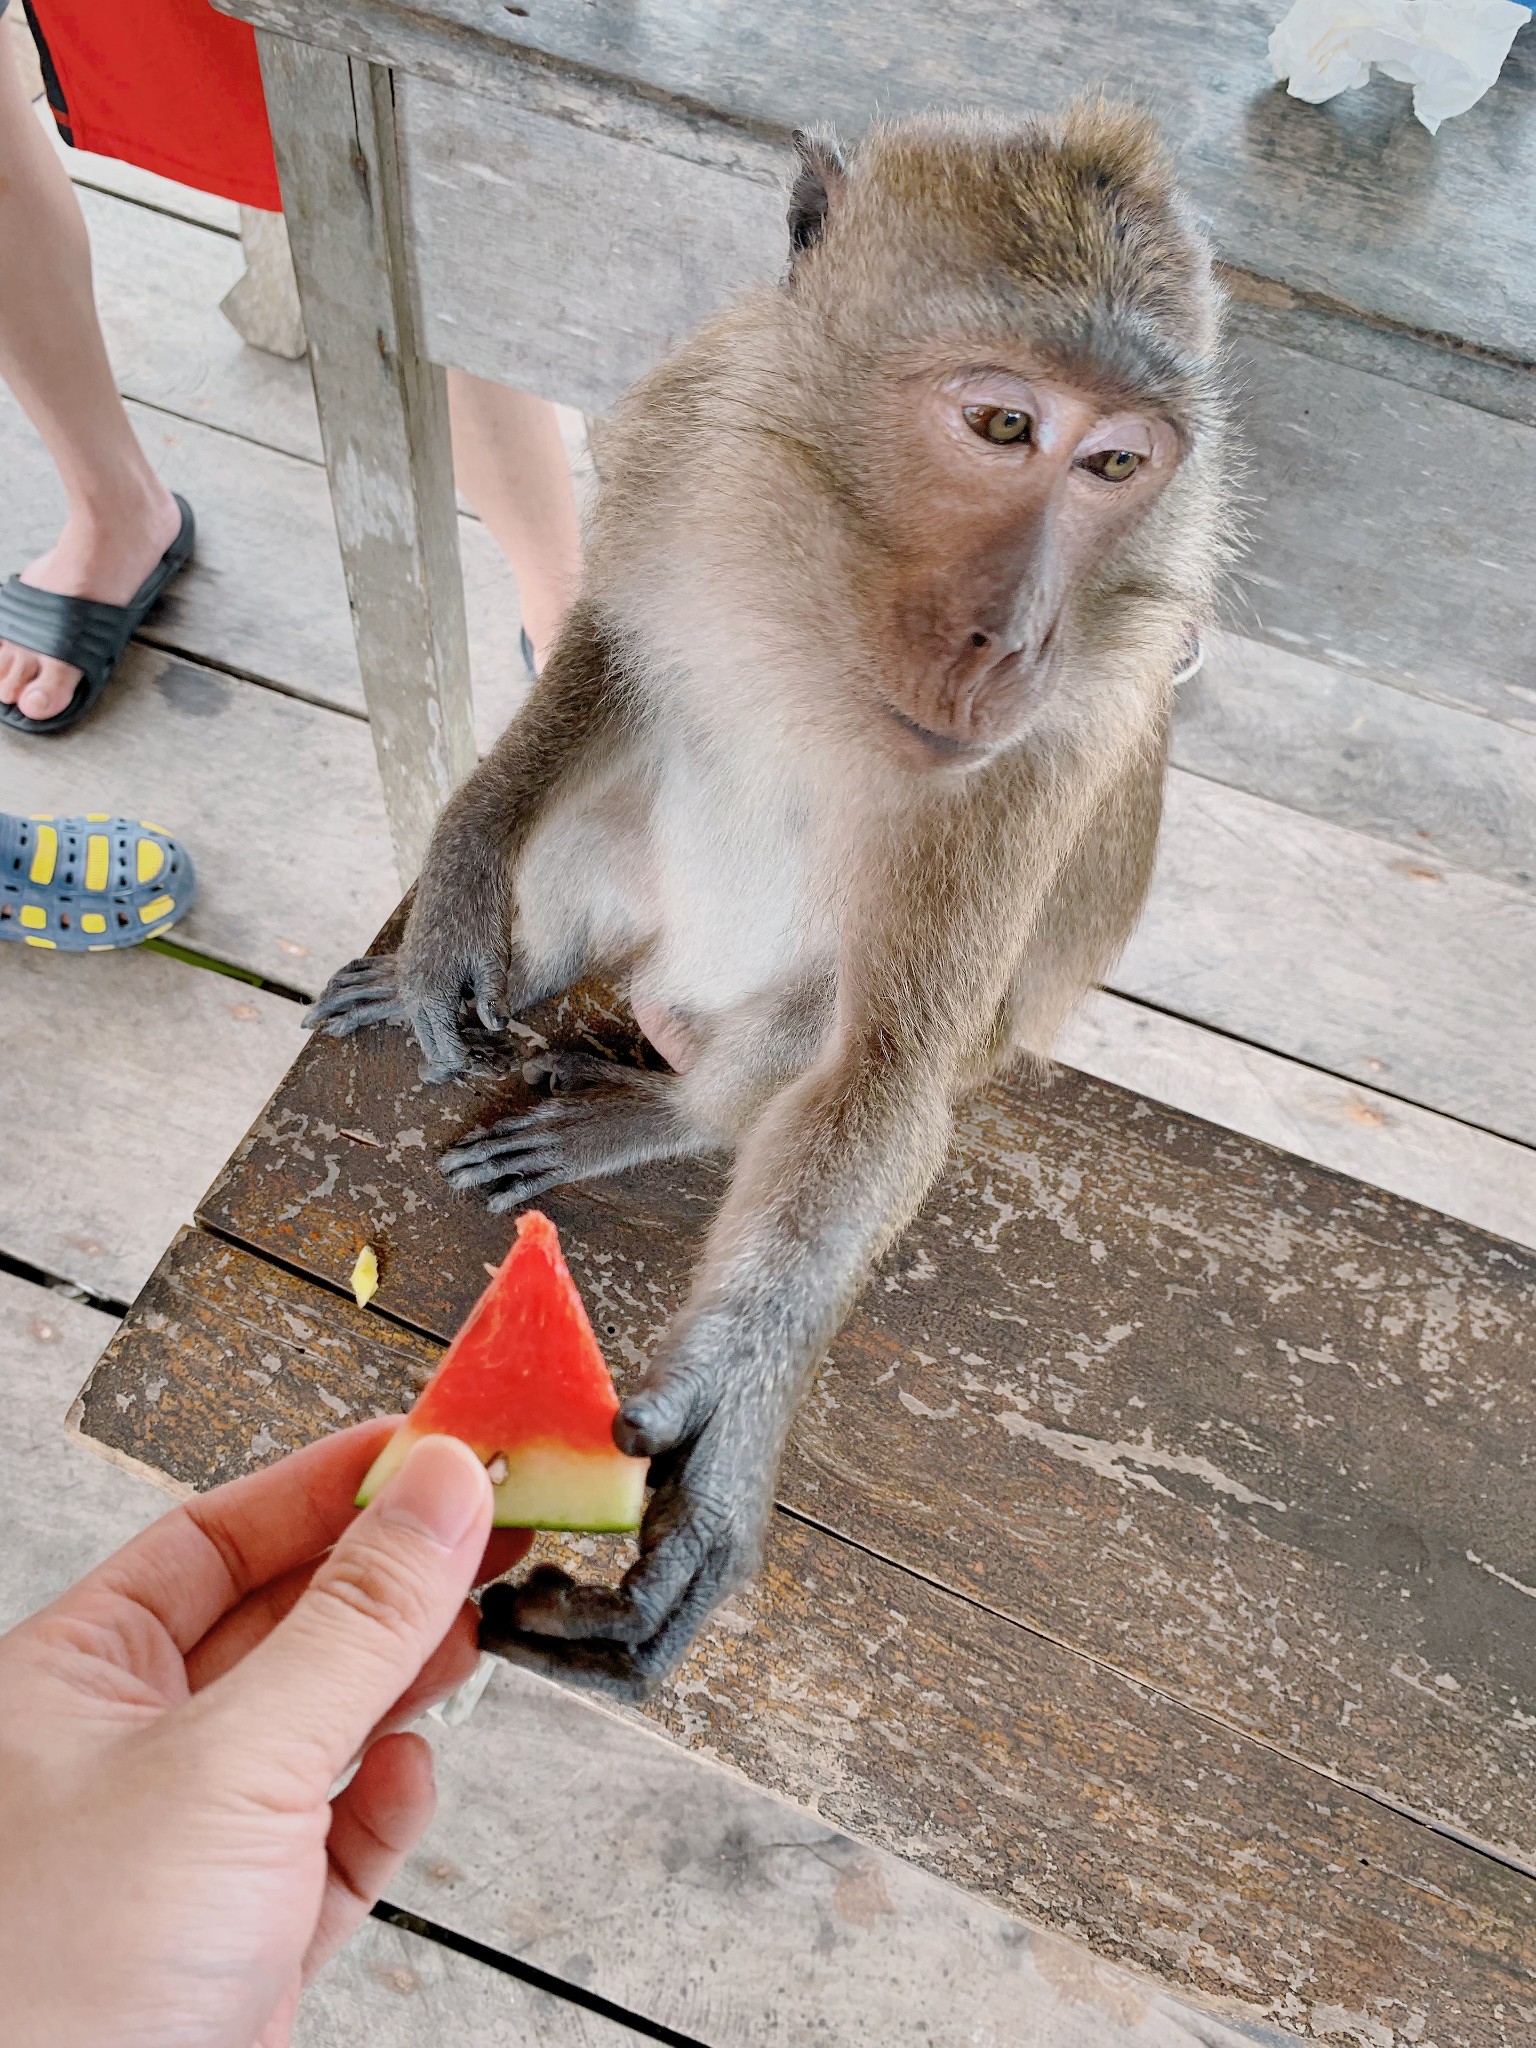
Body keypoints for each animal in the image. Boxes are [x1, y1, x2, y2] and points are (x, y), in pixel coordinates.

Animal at [307, 99, 1236, 1695]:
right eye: (1006, 427)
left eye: (1119, 465)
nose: (1014, 639)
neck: (827, 590)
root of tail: (668, 990)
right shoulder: (696, 416)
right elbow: (610, 637)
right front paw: (462, 874)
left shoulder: (1057, 730)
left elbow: (884, 1064)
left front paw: (725, 1428)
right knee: (594, 825)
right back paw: (512, 972)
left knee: (810, 1040)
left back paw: (658, 1113)